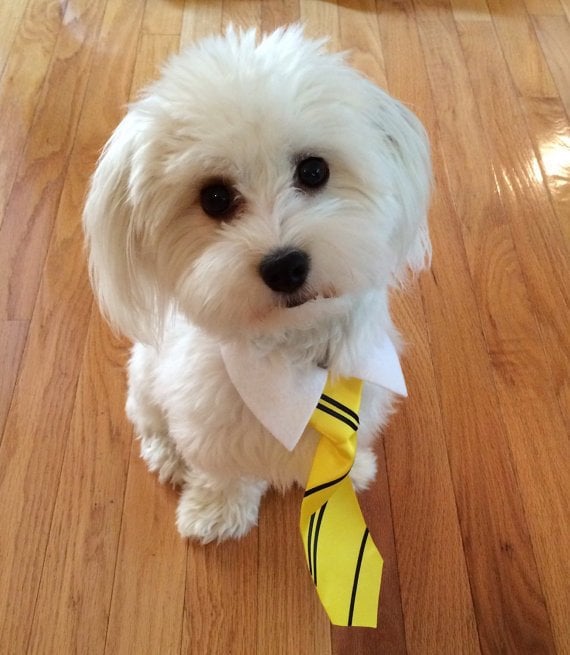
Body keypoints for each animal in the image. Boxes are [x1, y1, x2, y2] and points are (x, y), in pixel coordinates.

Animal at [83, 26, 430, 544]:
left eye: (314, 170)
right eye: (214, 198)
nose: (285, 266)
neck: (291, 354)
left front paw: (356, 469)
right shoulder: (207, 425)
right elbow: (222, 470)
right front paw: (216, 510)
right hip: (146, 375)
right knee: (149, 418)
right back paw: (167, 455)